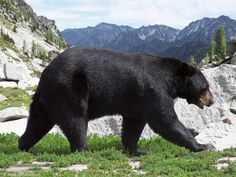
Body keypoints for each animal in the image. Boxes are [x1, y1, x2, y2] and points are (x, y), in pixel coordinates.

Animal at [18, 47, 214, 156]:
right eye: (205, 87)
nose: (211, 101)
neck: (170, 80)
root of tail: (44, 75)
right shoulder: (154, 91)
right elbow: (164, 120)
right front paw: (203, 145)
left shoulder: (137, 101)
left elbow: (133, 125)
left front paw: (136, 150)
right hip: (68, 89)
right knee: (75, 120)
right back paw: (83, 150)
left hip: (45, 100)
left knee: (38, 122)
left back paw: (24, 146)